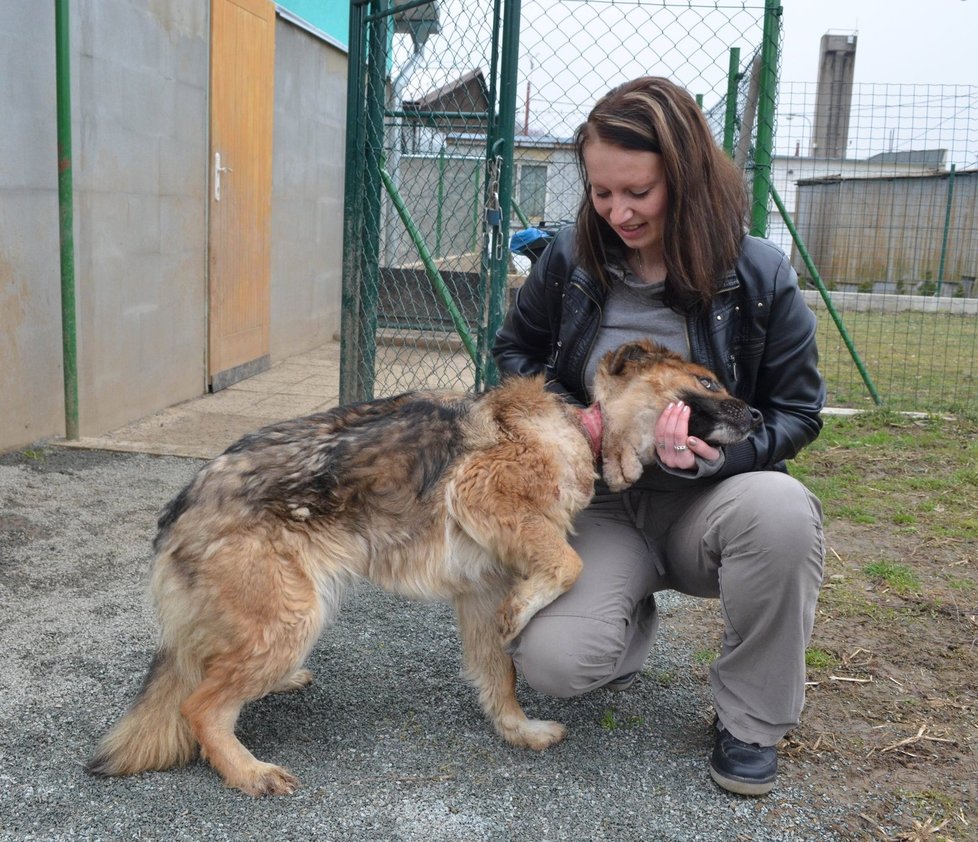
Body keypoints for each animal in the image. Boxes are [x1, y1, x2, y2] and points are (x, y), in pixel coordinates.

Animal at [87, 336, 756, 796]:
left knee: (214, 675)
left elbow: (498, 673)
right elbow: (568, 564)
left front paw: (517, 730)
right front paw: (525, 611)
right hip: (292, 613)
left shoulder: (481, 589)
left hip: (288, 611)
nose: (755, 418)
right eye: (705, 380)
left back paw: (275, 686)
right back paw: (247, 770)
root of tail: (187, 502)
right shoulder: (486, 496)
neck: (581, 426)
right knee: (200, 706)